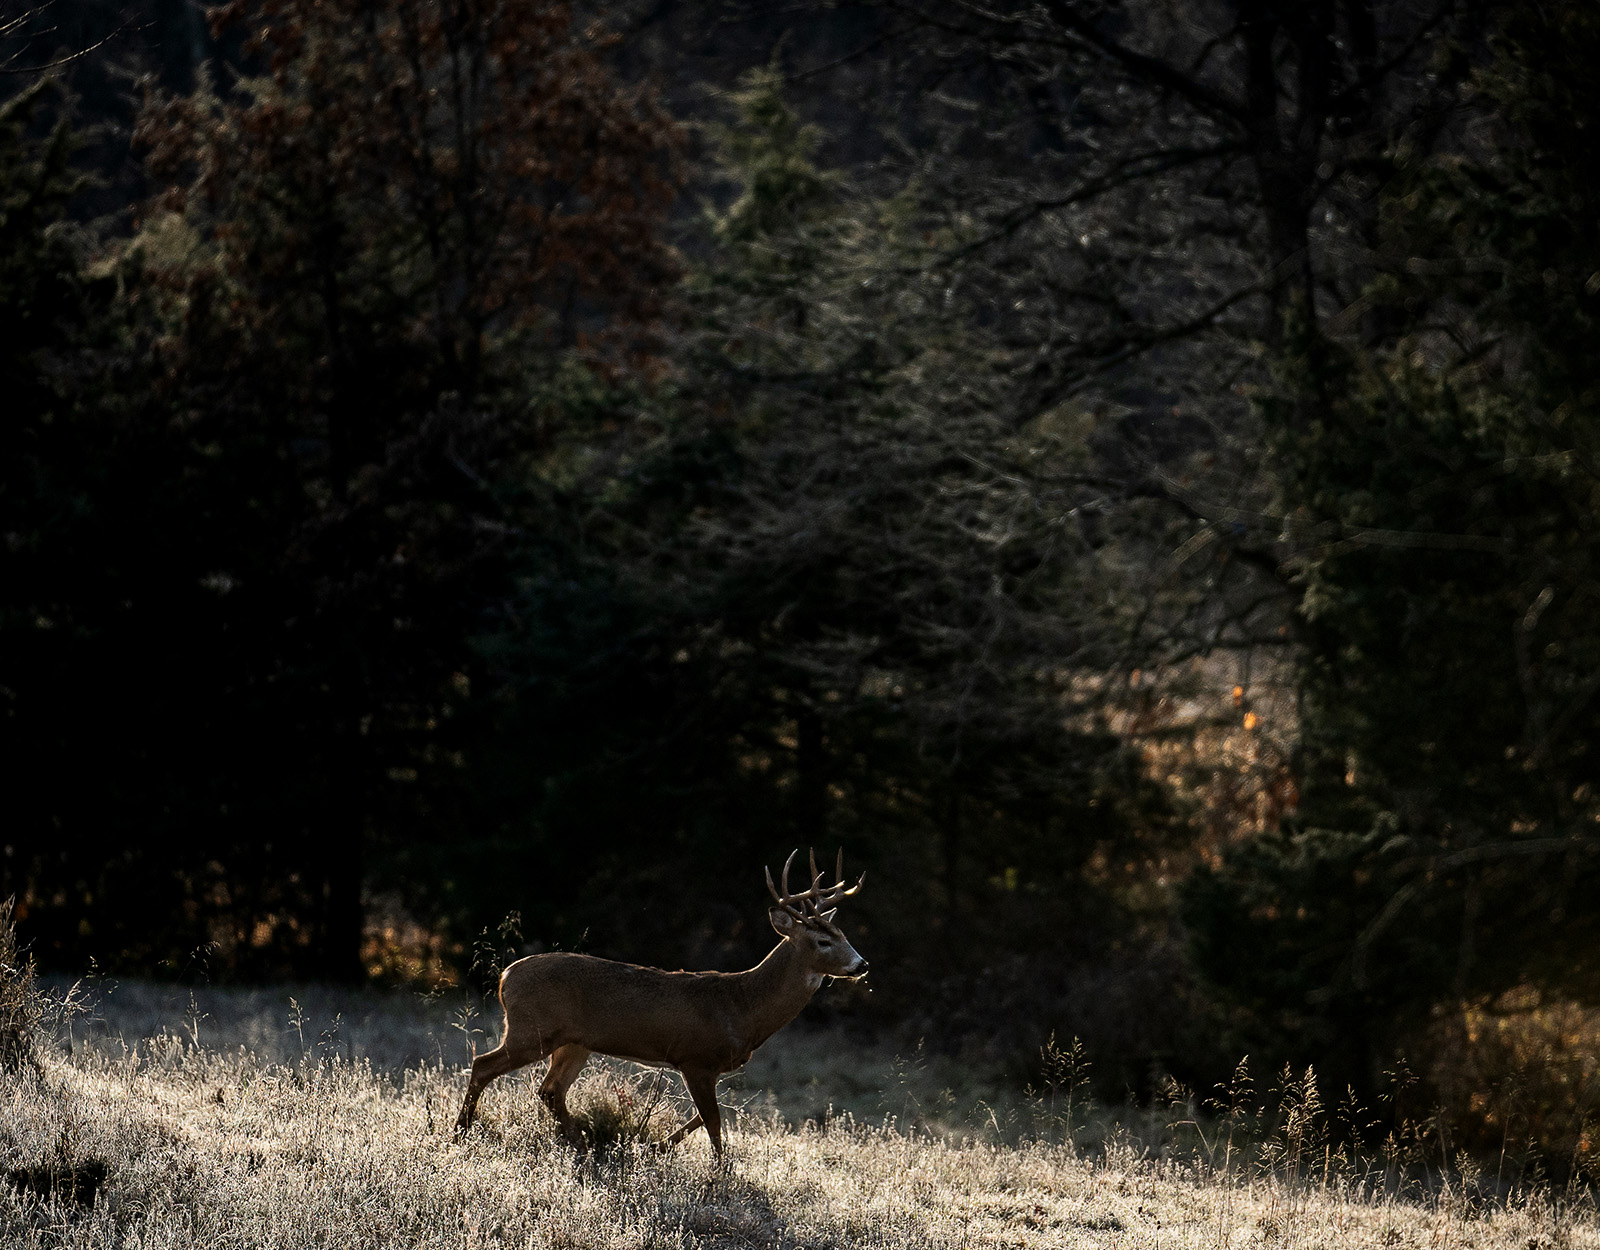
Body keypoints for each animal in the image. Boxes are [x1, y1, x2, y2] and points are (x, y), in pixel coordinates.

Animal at [457, 851, 870, 1158]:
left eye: (843, 934)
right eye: (822, 942)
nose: (861, 965)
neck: (742, 1007)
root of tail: (505, 977)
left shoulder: (708, 1066)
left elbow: (704, 1118)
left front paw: (654, 1147)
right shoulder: (695, 1058)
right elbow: (714, 1121)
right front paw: (720, 1173)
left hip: (573, 1042)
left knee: (550, 1090)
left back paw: (580, 1145)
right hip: (532, 1030)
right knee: (483, 1064)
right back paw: (462, 1131)